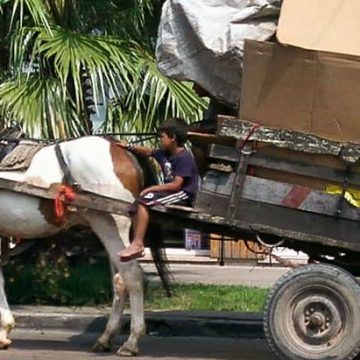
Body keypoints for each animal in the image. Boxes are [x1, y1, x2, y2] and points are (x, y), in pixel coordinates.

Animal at [0, 136, 169, 358]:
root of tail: (120, 149)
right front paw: (4, 331)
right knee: (119, 279)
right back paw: (106, 338)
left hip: (111, 221)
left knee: (132, 274)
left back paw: (132, 341)